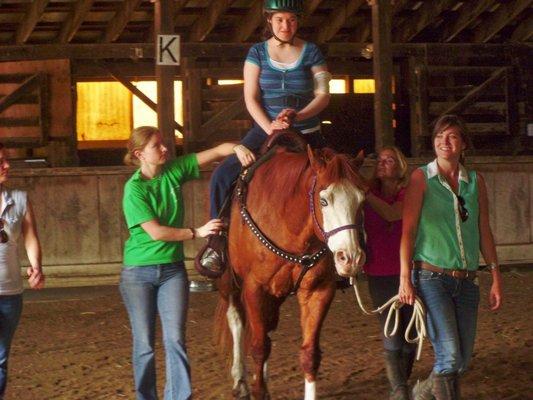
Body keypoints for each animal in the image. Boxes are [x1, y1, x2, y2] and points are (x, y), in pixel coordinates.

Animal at [214, 145, 368, 400]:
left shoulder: (318, 291)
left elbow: (309, 354)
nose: (351, 258)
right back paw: (241, 380)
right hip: (230, 283)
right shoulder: (254, 289)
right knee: (236, 320)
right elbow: (258, 347)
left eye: (362, 199)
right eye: (324, 200)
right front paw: (257, 388)